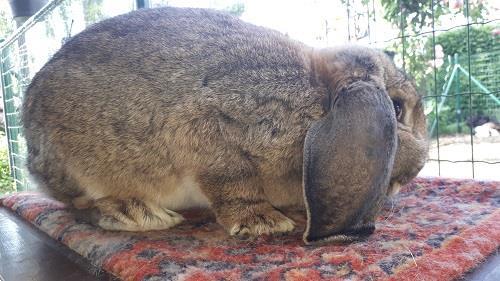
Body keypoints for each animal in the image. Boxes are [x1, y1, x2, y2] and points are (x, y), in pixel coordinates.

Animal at [22, 6, 430, 243]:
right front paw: (264, 221)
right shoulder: (211, 133)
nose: (413, 173)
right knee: (78, 205)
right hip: (79, 165)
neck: (317, 99)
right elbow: (232, 182)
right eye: (397, 108)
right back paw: (137, 213)